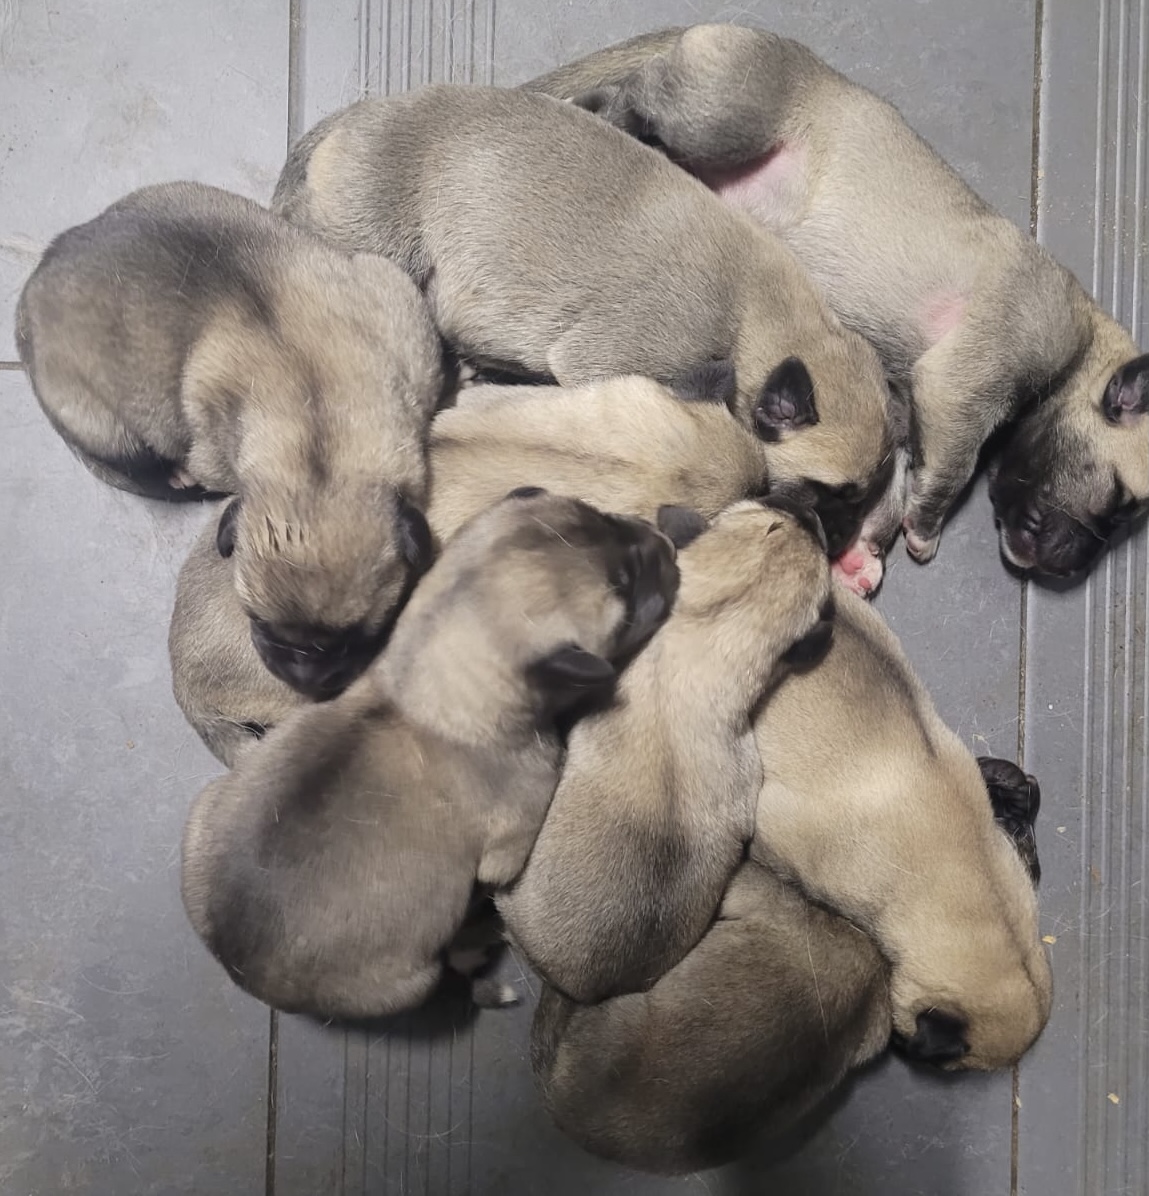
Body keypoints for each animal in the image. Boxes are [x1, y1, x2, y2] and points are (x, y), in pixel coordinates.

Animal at [17, 181, 444, 696]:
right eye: (258, 624)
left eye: (357, 636)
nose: (303, 681)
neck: (317, 440)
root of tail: (33, 287)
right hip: (99, 419)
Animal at [180, 489, 680, 1020]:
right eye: (625, 592)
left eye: (601, 515)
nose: (667, 546)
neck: (423, 681)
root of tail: (245, 973)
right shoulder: (508, 849)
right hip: (413, 983)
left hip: (204, 810)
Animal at [271, 85, 895, 561]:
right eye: (827, 492)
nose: (840, 540)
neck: (754, 315)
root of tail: (365, 115)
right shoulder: (613, 364)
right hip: (373, 245)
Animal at [528, 24, 1149, 577]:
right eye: (1120, 504)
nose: (1071, 569)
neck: (1085, 348)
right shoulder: (968, 384)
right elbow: (952, 467)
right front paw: (926, 525)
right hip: (718, 122)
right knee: (641, 97)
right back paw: (598, 105)